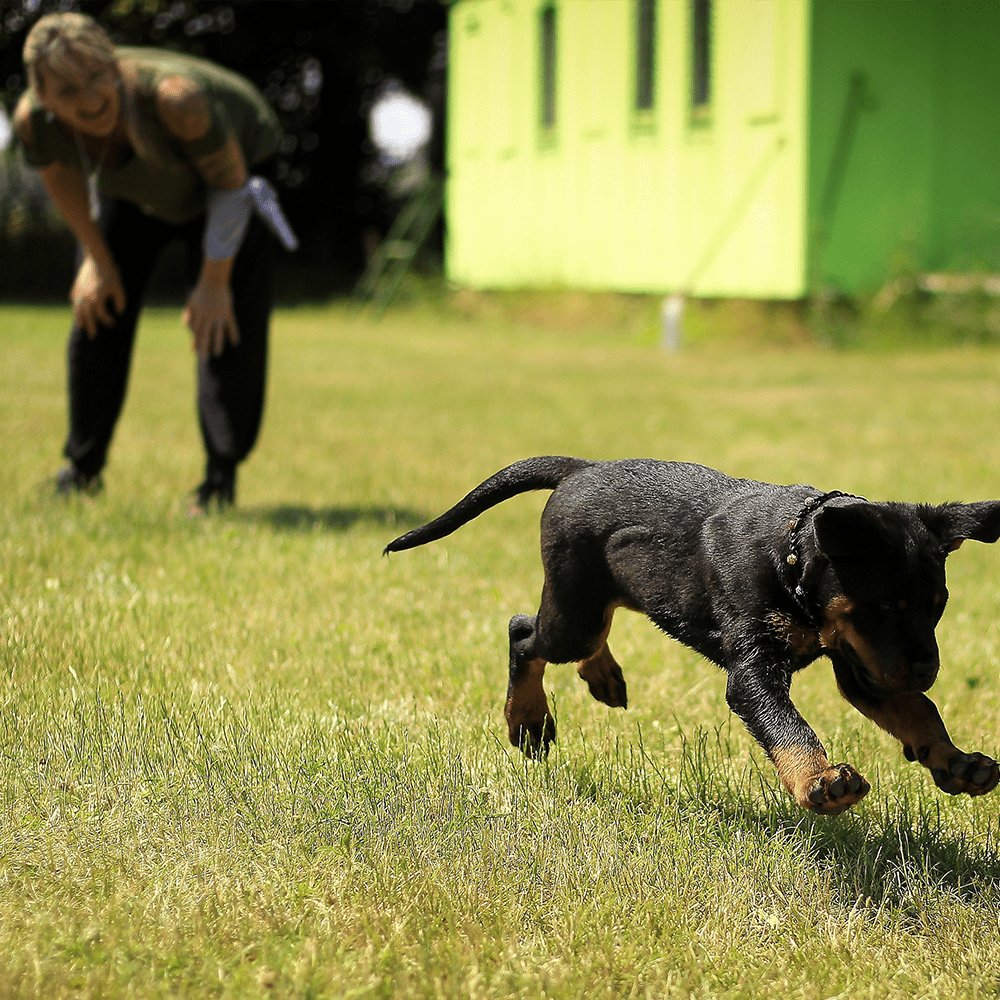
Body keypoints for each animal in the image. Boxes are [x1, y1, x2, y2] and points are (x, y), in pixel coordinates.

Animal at [382, 458, 1000, 812]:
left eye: (938, 607)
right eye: (885, 606)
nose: (927, 669)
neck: (791, 555)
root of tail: (580, 468)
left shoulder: (863, 665)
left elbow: (919, 712)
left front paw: (957, 762)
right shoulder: (756, 670)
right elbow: (790, 727)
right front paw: (820, 781)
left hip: (601, 597)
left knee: (583, 631)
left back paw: (602, 676)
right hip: (573, 611)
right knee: (523, 633)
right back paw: (528, 719)